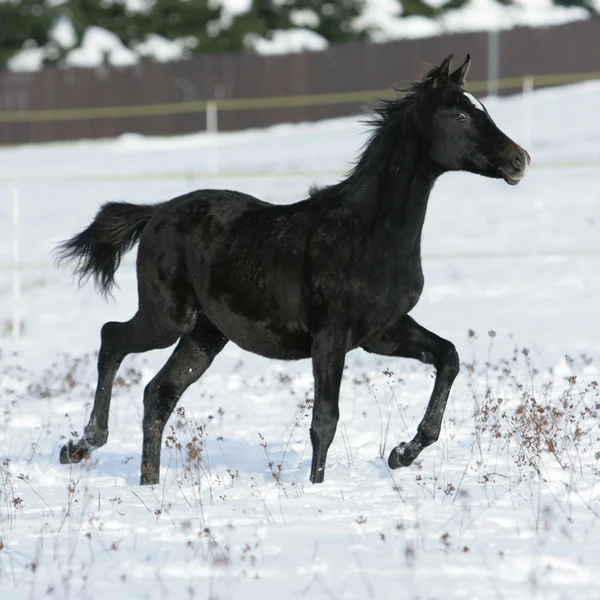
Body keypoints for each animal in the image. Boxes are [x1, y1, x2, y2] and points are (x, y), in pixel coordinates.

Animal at [56, 55, 528, 488]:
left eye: (482, 108)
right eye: (460, 114)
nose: (518, 160)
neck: (367, 234)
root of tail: (155, 213)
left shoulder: (383, 332)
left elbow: (448, 356)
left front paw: (401, 454)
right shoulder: (330, 336)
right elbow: (325, 421)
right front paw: (317, 492)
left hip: (205, 335)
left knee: (159, 393)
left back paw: (148, 483)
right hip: (167, 318)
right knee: (112, 338)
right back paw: (80, 445)